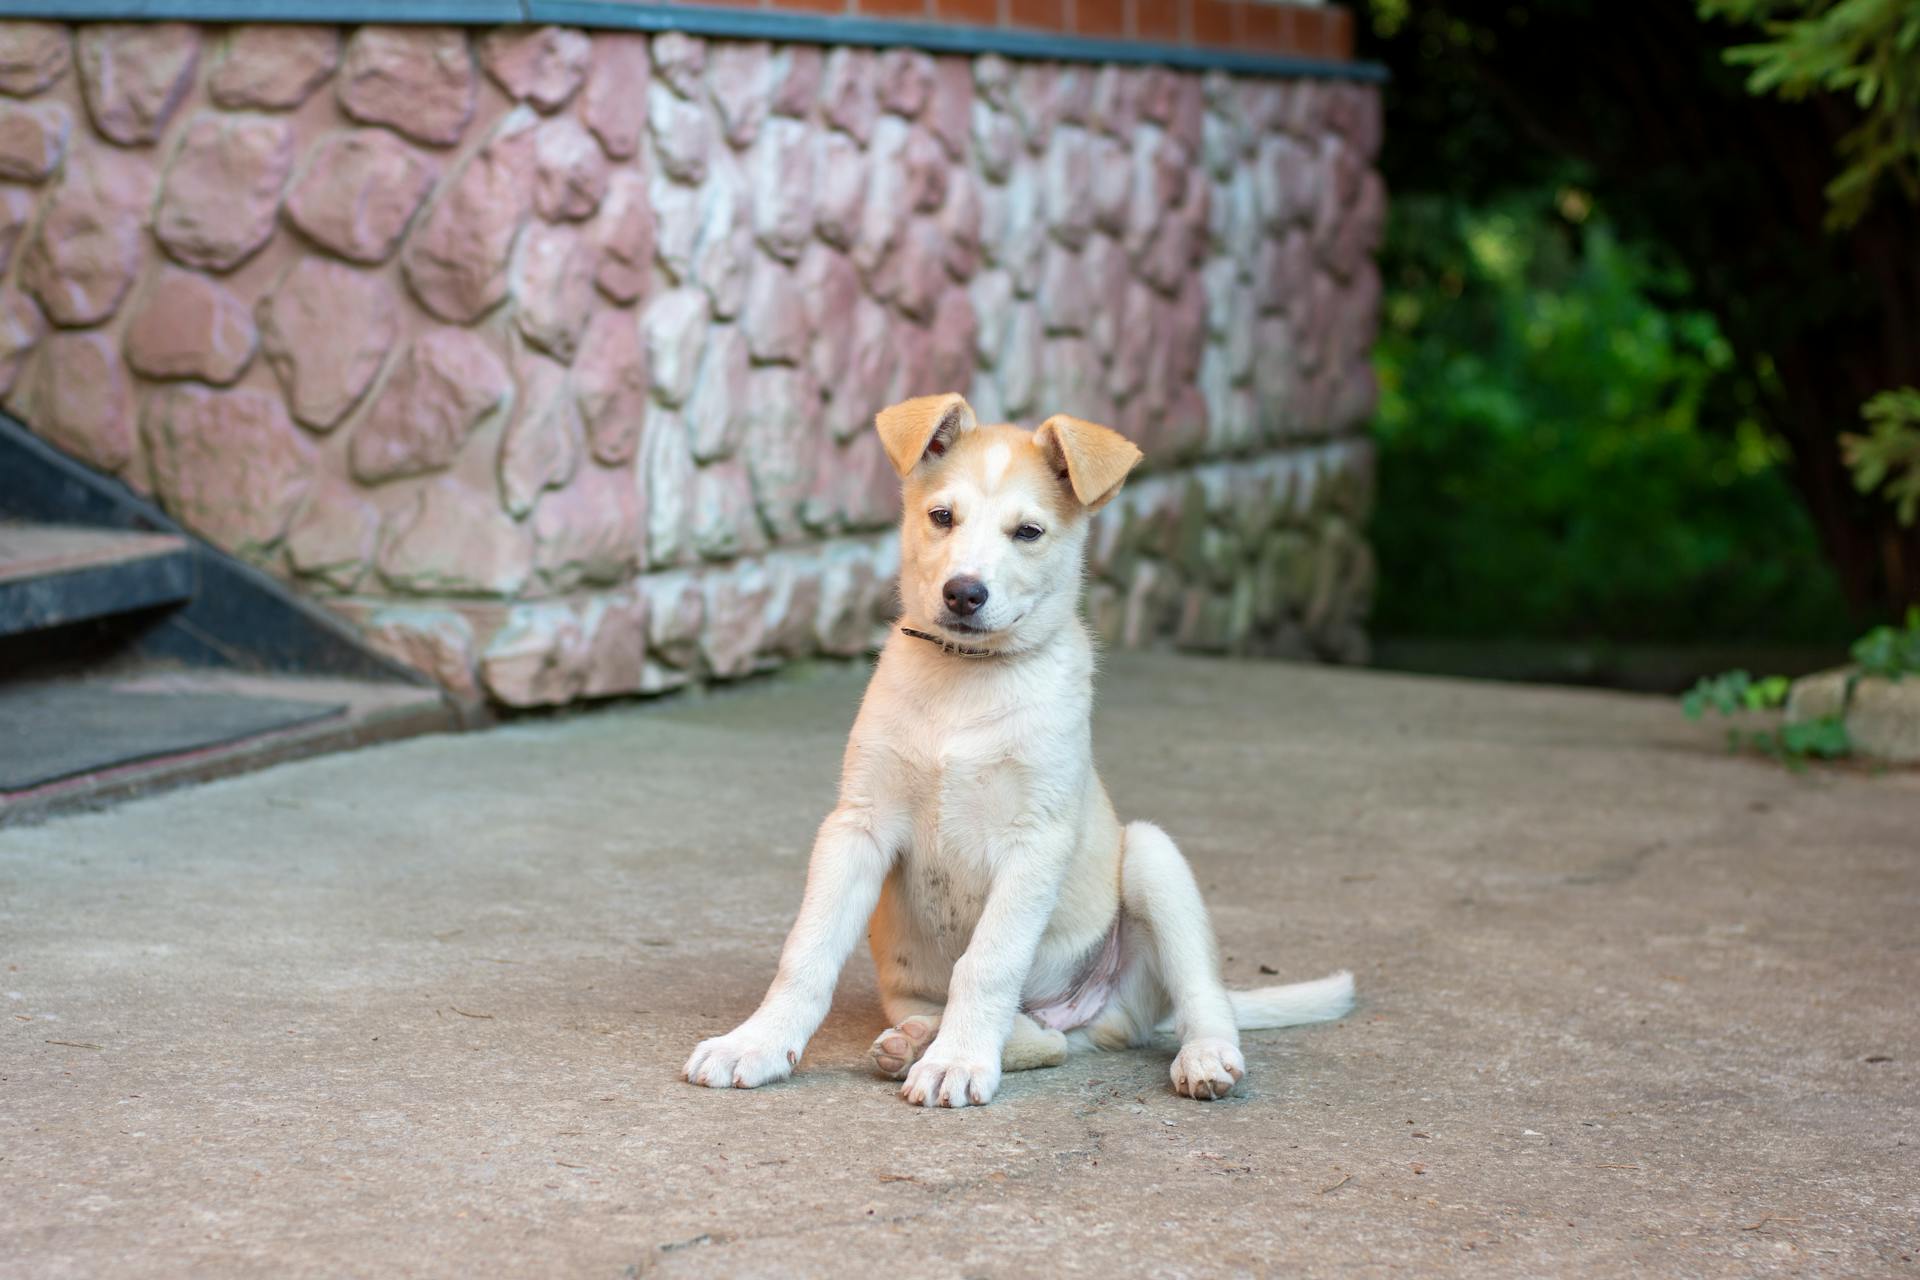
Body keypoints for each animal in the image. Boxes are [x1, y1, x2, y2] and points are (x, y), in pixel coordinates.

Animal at [683, 395, 1359, 1105]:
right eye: (941, 517)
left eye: (1028, 533)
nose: (963, 593)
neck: (966, 680)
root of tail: (1103, 1015)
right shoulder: (858, 824)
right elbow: (806, 951)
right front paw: (756, 1044)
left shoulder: (1035, 840)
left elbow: (988, 962)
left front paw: (957, 1062)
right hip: (929, 990)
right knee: (1045, 1040)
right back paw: (915, 1042)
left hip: (1152, 859)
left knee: (1197, 994)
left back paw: (1202, 1056)